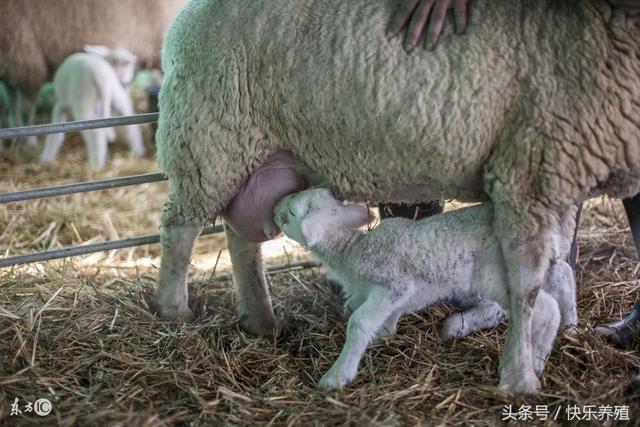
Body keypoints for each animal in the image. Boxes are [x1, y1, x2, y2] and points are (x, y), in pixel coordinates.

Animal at [272, 191, 576, 392]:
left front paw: (336, 376)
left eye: (291, 213)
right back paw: (571, 327)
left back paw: (537, 358)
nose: (274, 206)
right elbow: (387, 320)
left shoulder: (393, 283)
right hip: (543, 259)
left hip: (498, 274)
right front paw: (383, 337)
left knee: (544, 307)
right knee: (564, 275)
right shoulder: (395, 297)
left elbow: (358, 321)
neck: (350, 251)